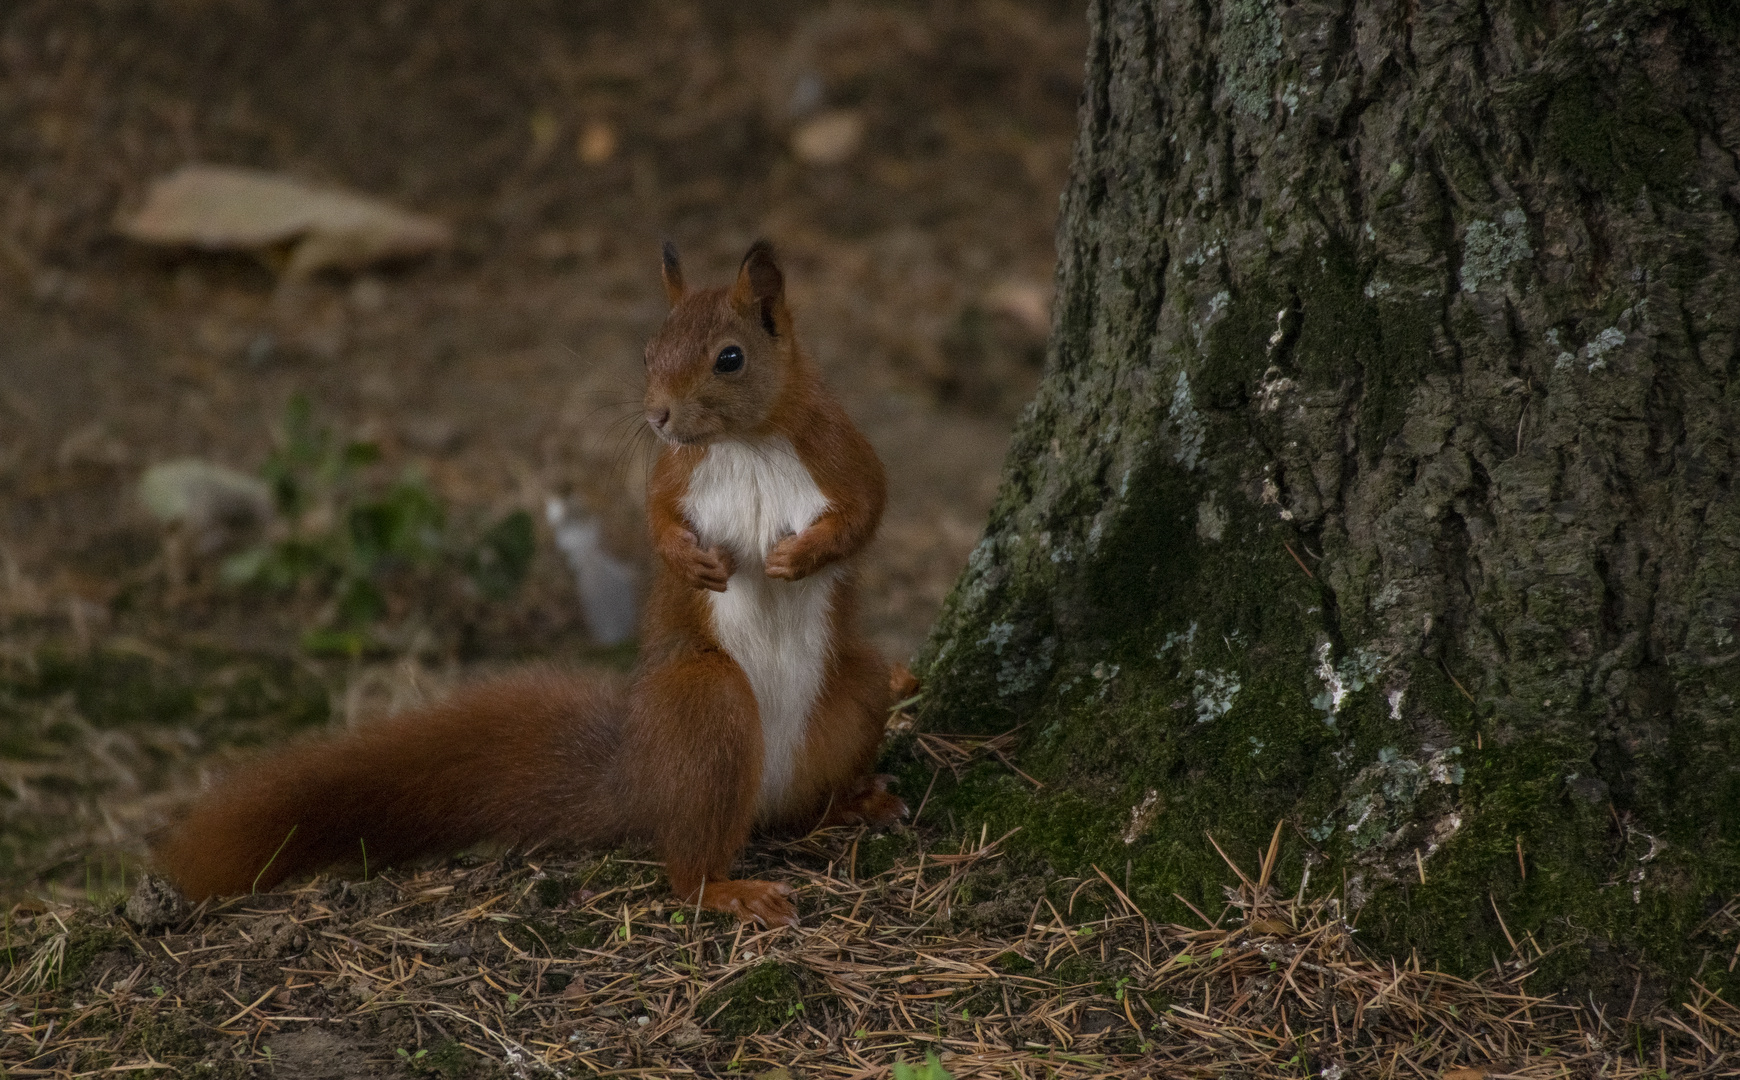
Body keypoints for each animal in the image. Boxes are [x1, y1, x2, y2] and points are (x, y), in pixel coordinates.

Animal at [151, 241, 904, 925]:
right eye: (647, 352)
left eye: (730, 358)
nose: (658, 416)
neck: (746, 444)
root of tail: (644, 773)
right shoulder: (673, 471)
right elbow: (656, 521)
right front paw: (692, 563)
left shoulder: (837, 447)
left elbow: (868, 509)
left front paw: (801, 558)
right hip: (705, 703)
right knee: (687, 865)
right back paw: (726, 888)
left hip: (856, 691)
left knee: (806, 800)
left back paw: (853, 801)